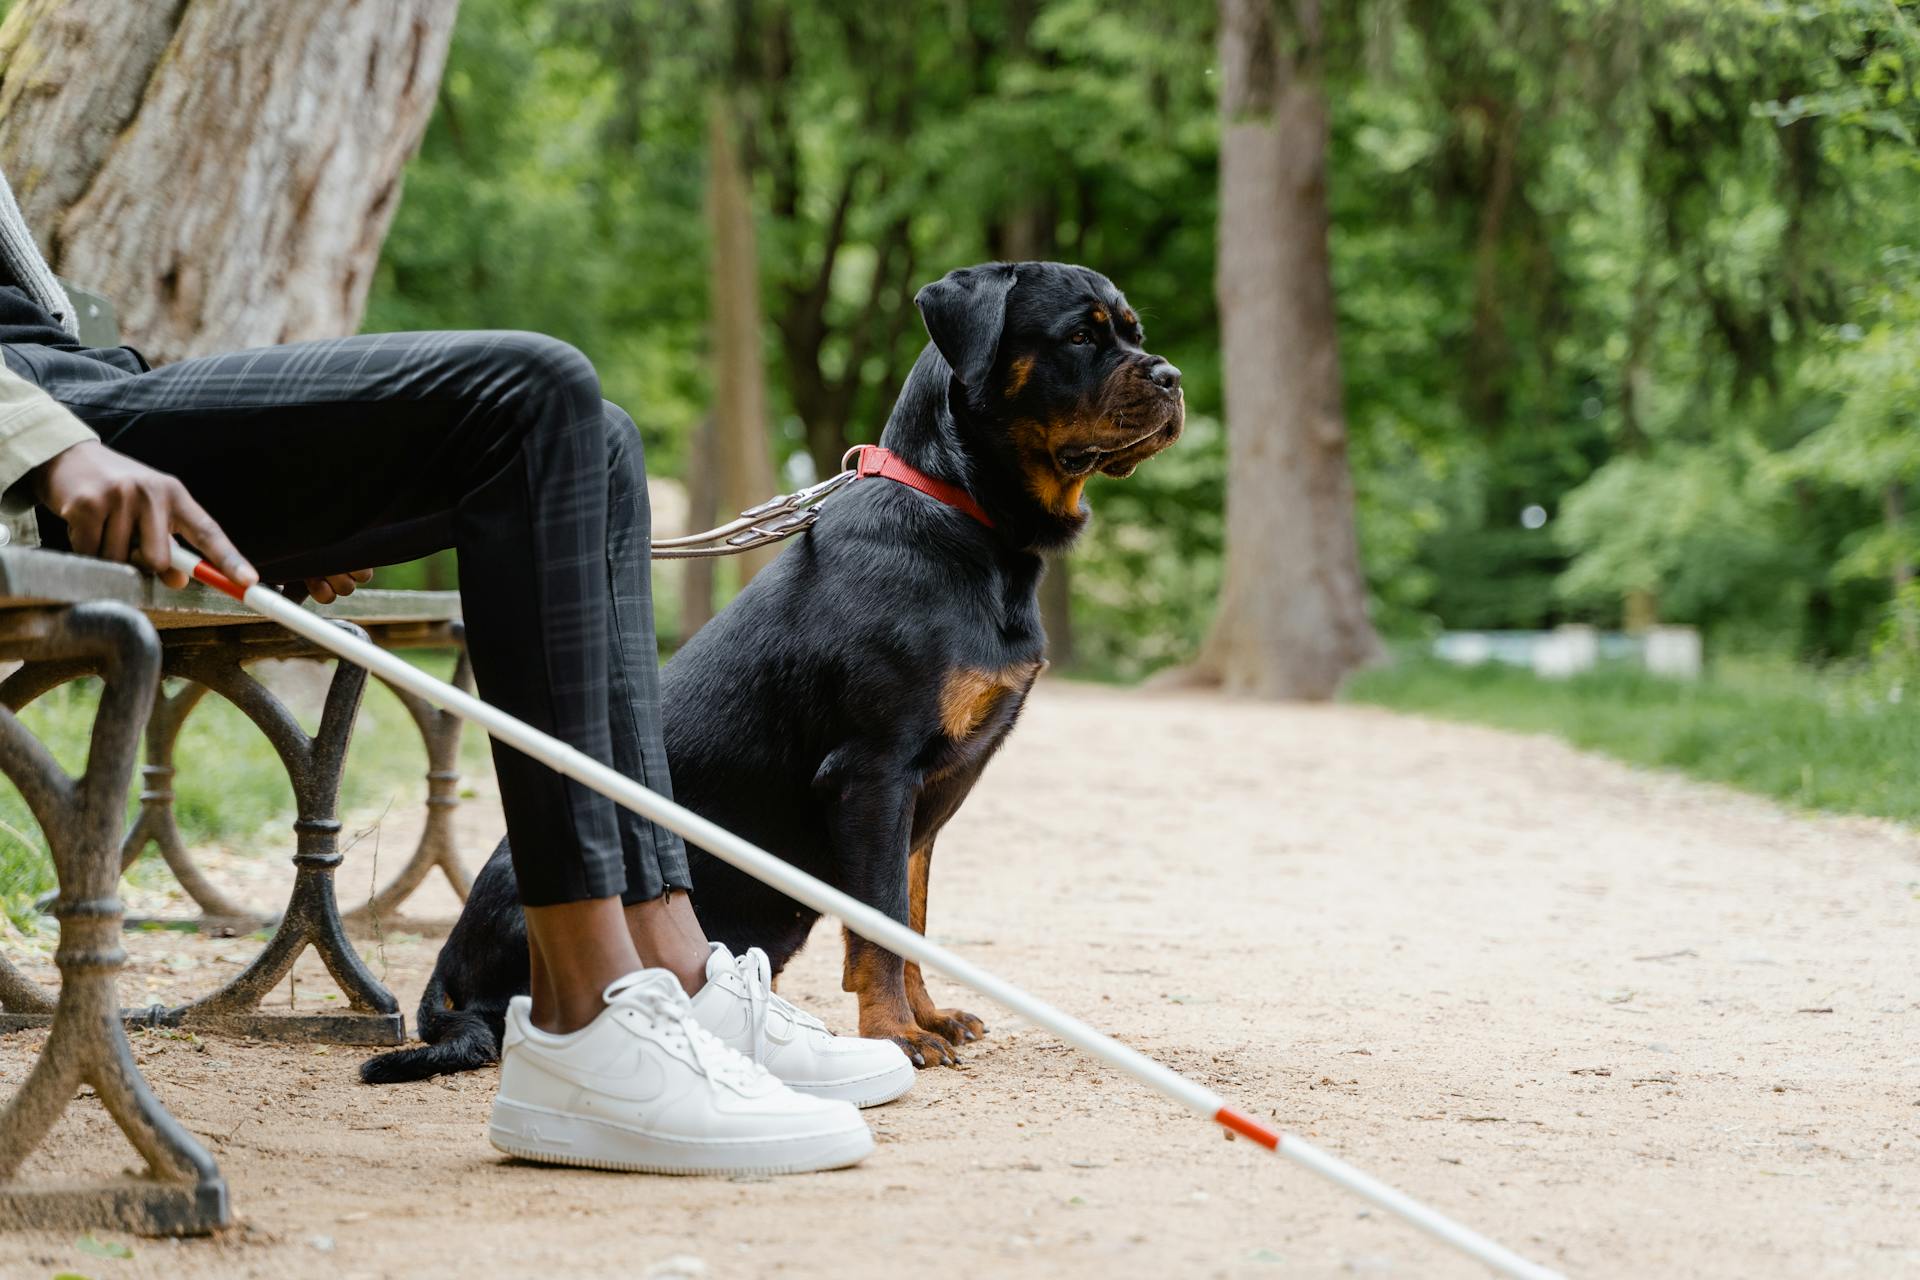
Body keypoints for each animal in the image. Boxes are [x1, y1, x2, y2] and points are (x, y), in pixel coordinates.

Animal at [353, 264, 1175, 1090]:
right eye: (1080, 336)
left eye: (1135, 331)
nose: (1170, 377)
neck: (961, 517)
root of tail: (447, 968)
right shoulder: (873, 772)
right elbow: (881, 924)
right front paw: (895, 1033)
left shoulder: (922, 795)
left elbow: (910, 915)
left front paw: (928, 1015)